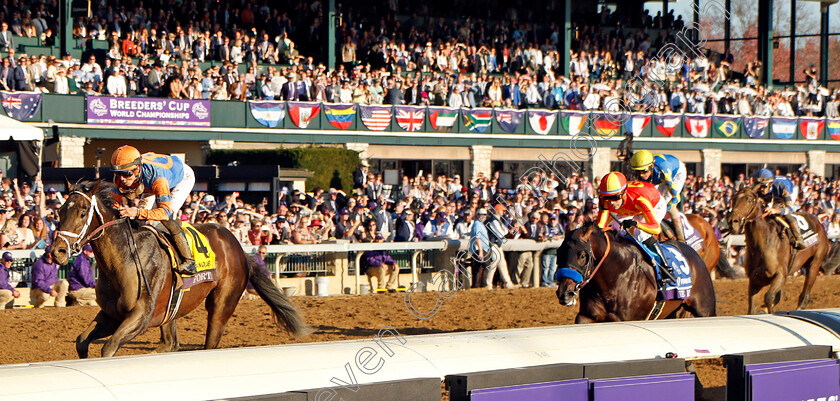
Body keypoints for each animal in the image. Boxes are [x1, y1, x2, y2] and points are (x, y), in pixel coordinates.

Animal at [50, 180, 312, 356]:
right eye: (60, 211)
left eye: (82, 212)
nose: (57, 251)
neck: (124, 260)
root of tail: (238, 247)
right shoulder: (111, 315)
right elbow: (81, 341)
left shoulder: (141, 316)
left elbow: (108, 348)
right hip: (171, 310)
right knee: (170, 344)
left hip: (222, 303)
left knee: (208, 341)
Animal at [556, 222, 716, 322]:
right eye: (559, 252)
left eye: (582, 255)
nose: (565, 293)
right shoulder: (586, 316)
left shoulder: (624, 319)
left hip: (705, 309)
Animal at [728, 186, 828, 314]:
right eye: (733, 199)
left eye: (749, 200)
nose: (732, 222)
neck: (762, 245)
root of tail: (818, 222)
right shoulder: (754, 280)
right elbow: (752, 308)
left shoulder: (780, 275)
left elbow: (768, 297)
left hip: (814, 264)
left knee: (805, 296)